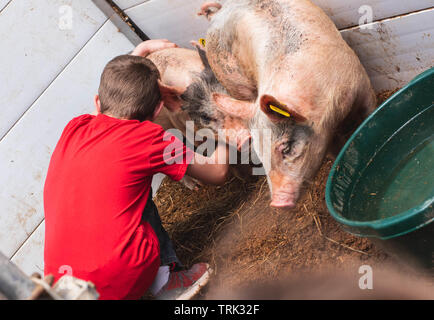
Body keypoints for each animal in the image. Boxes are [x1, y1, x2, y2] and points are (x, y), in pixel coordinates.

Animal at [198, 0, 378, 208]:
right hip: (233, 82)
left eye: (285, 148)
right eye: (260, 154)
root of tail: (217, 11)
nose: (277, 203)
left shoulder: (360, 82)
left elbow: (370, 112)